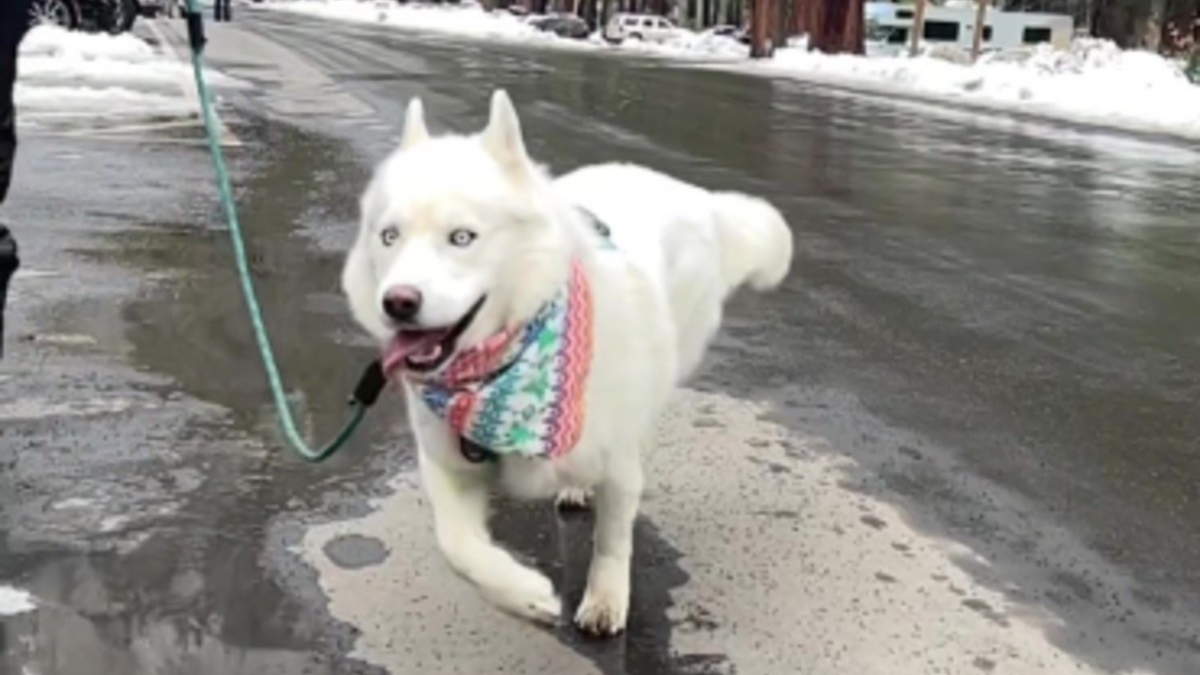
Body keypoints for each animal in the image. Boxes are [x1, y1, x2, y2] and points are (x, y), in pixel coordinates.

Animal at [345, 90, 796, 634]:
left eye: (462, 237)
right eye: (389, 236)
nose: (398, 302)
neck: (499, 371)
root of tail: (700, 199)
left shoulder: (619, 465)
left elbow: (613, 541)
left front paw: (605, 599)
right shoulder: (446, 466)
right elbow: (457, 547)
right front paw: (523, 594)